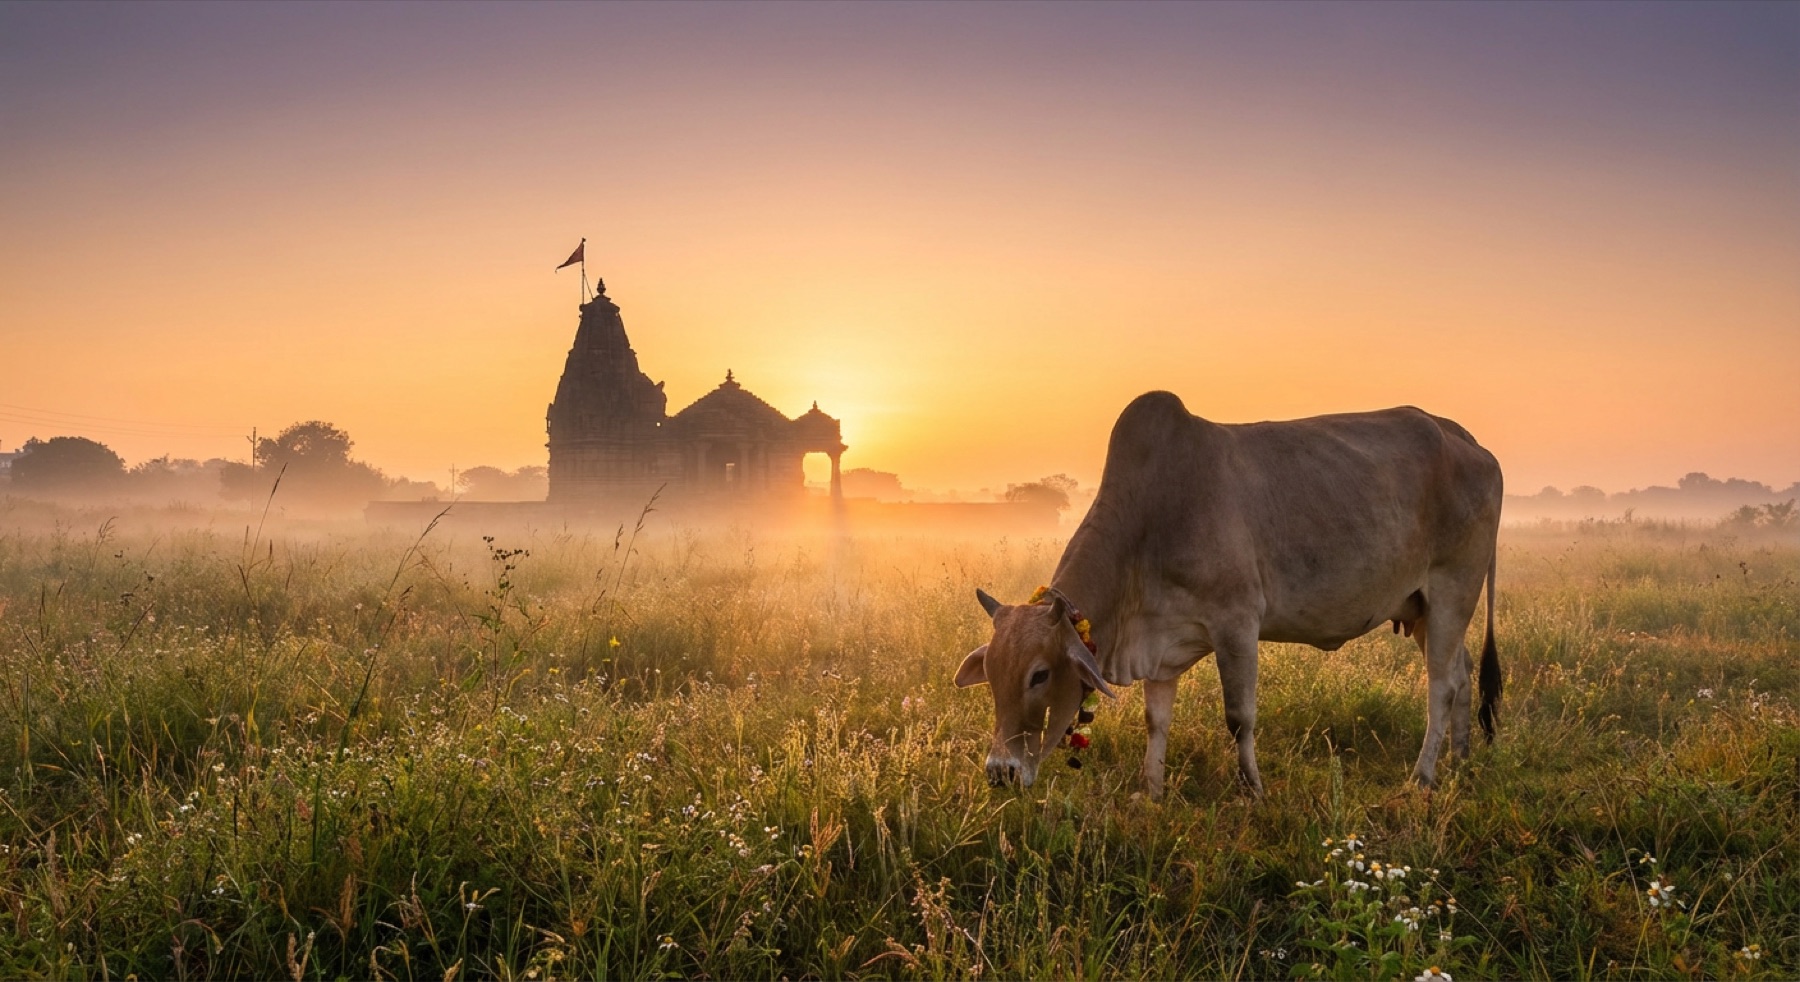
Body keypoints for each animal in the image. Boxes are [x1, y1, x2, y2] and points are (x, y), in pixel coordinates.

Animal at [955, 391, 1503, 797]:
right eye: (992, 675)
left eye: (1040, 675)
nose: (1000, 771)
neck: (1151, 521)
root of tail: (1465, 438)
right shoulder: (1162, 645)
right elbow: (1156, 721)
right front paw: (1150, 792)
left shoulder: (1236, 624)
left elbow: (1239, 718)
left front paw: (1252, 789)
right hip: (1420, 607)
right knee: (1461, 669)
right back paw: (1459, 759)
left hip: (1453, 588)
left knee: (1442, 684)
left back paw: (1423, 776)